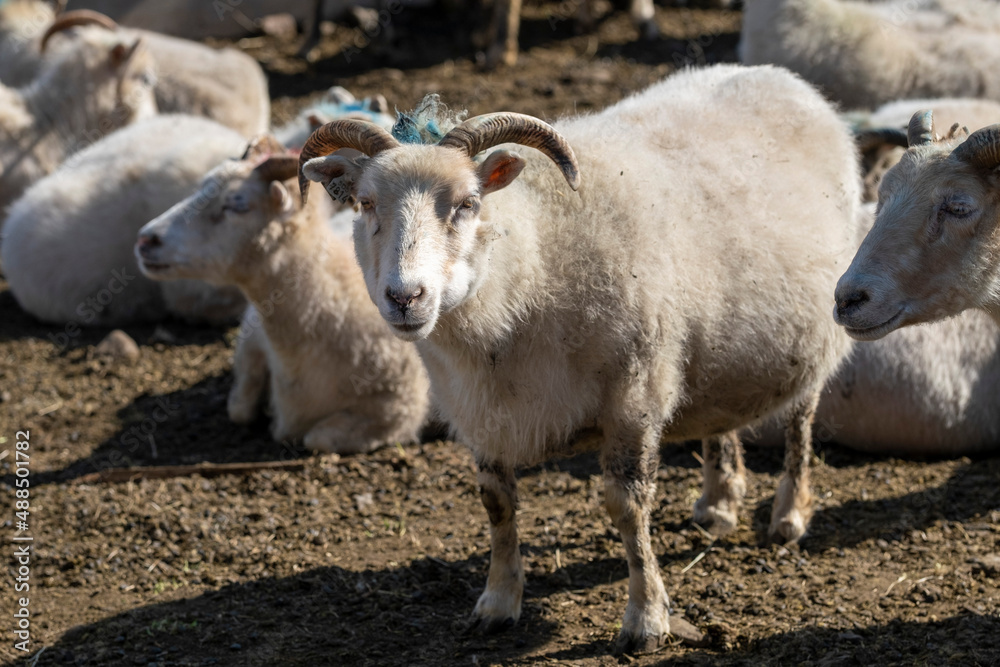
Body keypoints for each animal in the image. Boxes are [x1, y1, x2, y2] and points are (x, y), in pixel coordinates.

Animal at [297, 64, 862, 652]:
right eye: (365, 204)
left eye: (468, 203)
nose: (406, 297)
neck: (532, 260)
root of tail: (783, 78)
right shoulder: (482, 414)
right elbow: (497, 505)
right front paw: (498, 603)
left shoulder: (634, 396)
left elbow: (627, 509)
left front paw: (646, 618)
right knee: (720, 417)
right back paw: (718, 502)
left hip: (813, 337)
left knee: (800, 423)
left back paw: (789, 515)